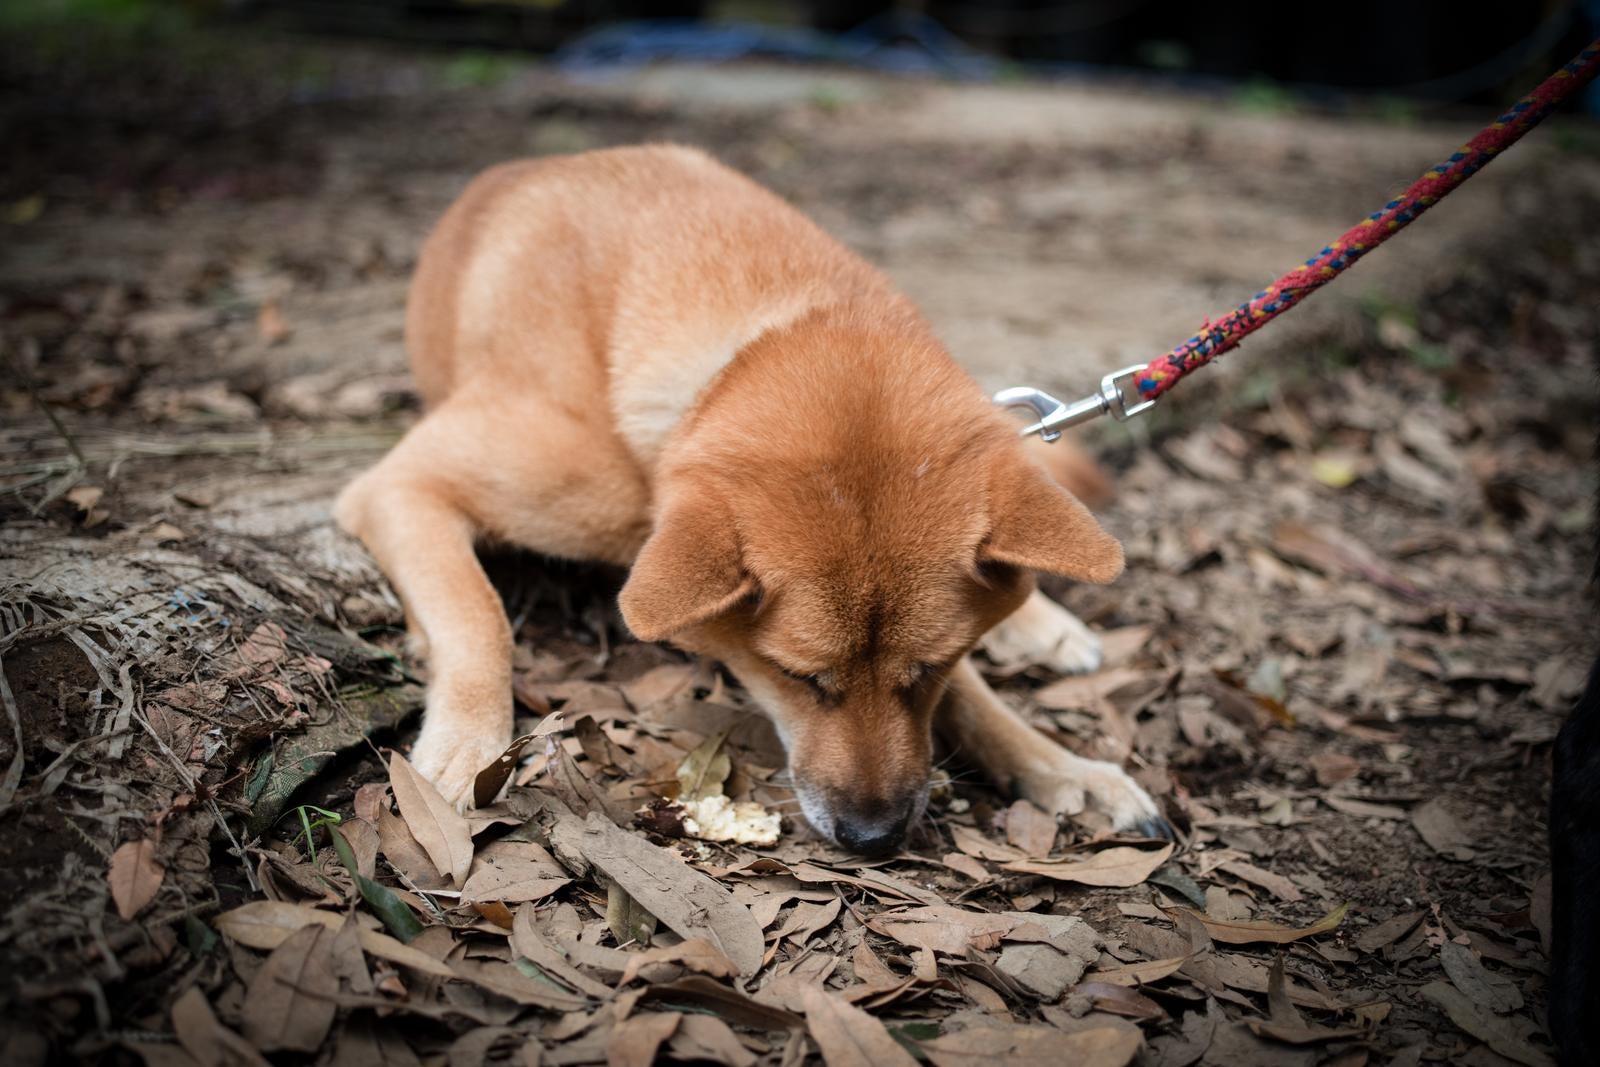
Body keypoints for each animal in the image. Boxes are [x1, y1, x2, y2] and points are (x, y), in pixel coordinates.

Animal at [337, 146, 1164, 857]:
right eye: (797, 677)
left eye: (929, 668)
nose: (876, 838)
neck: (744, 341)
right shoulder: (400, 486)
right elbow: (480, 616)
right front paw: (468, 743)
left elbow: (981, 698)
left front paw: (1059, 765)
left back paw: (1047, 626)